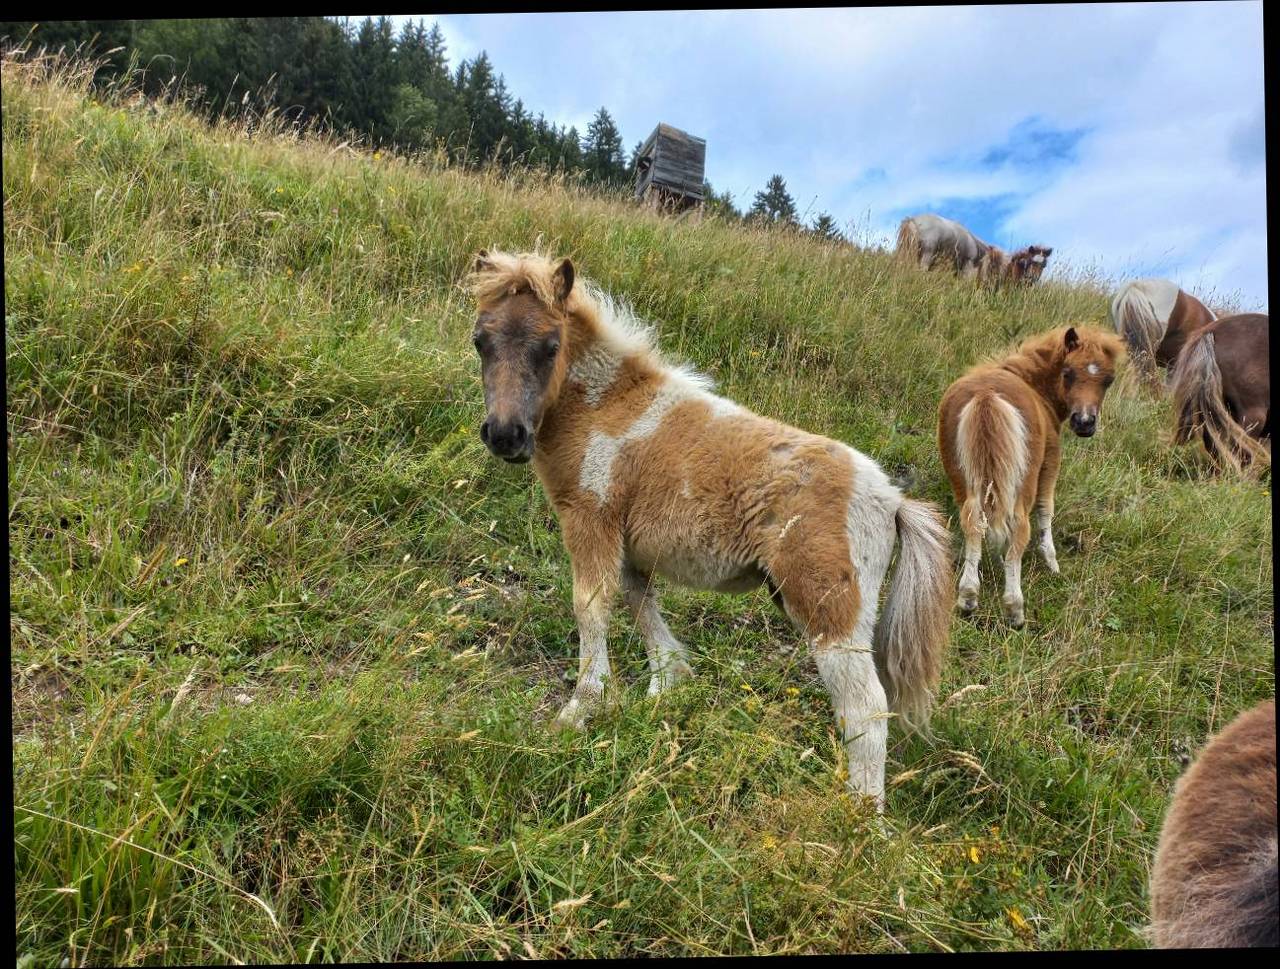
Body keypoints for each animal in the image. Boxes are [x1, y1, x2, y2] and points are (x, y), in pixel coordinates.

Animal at [465, 247, 957, 808]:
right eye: (480, 340)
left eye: (550, 346)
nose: (505, 435)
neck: (605, 409)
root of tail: (892, 500)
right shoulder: (629, 547)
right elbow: (640, 604)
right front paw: (666, 687)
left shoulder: (590, 523)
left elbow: (590, 608)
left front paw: (581, 710)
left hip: (829, 615)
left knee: (866, 709)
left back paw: (858, 817)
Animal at [936, 325, 1126, 627]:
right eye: (1068, 372)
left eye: (1108, 380)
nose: (1084, 423)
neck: (1036, 388)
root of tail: (986, 395)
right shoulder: (1050, 460)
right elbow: (1046, 509)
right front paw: (1052, 562)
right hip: (1023, 480)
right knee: (1019, 526)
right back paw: (1014, 609)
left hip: (959, 473)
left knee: (973, 520)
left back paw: (968, 597)